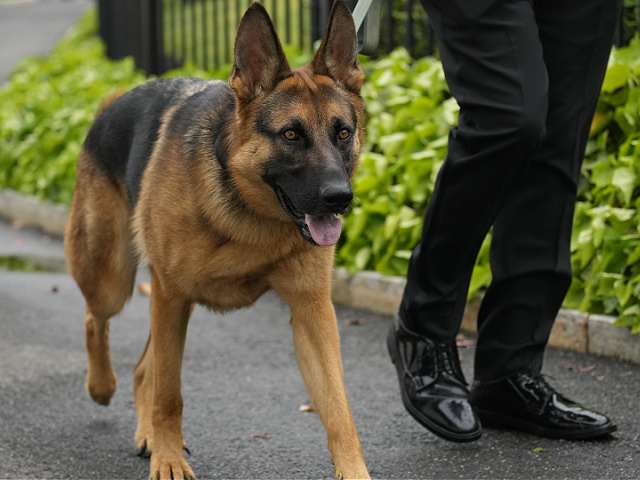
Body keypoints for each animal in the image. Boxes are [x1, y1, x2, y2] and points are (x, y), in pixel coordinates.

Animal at [65, 1, 370, 478]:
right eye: (291, 134)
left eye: (343, 132)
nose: (340, 198)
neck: (249, 214)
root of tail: (110, 106)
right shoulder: (170, 296)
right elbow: (170, 394)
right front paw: (169, 460)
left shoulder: (313, 312)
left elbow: (339, 410)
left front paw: (355, 470)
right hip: (114, 279)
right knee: (97, 321)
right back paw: (102, 386)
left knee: (143, 369)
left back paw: (145, 432)